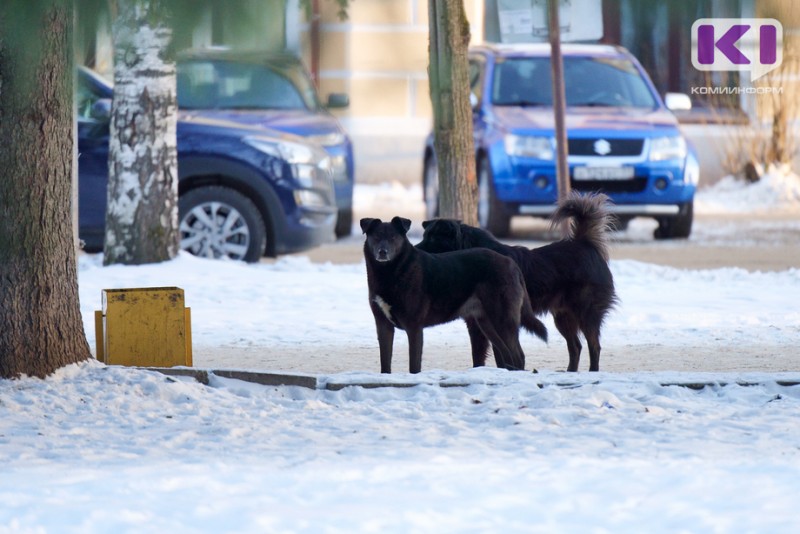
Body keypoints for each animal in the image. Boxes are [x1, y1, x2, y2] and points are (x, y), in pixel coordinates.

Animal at [364, 216, 548, 374]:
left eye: (393, 237)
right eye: (376, 237)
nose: (382, 252)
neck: (391, 272)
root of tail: (511, 263)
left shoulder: (414, 326)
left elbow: (414, 366)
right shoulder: (383, 325)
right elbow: (385, 363)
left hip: (503, 319)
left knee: (518, 356)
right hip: (487, 322)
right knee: (507, 355)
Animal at [418, 193, 620, 372]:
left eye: (433, 239)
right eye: (425, 236)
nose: (415, 249)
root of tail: (585, 244)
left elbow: (491, 355)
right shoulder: (477, 322)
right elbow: (484, 355)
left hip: (586, 313)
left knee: (594, 346)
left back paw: (592, 371)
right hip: (563, 316)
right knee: (575, 346)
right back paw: (571, 372)